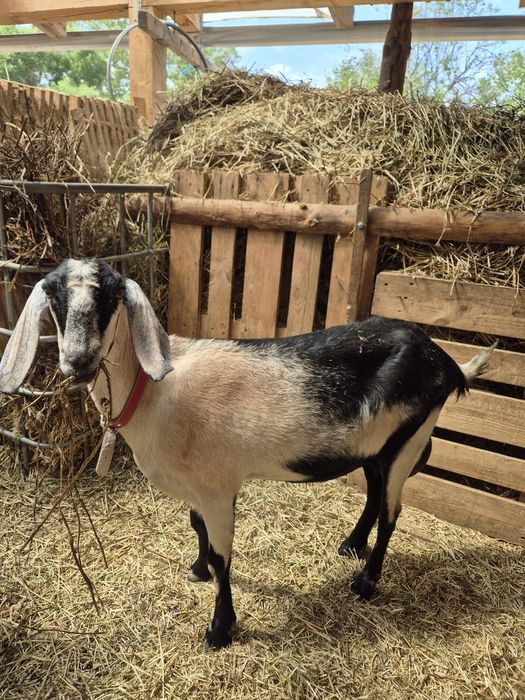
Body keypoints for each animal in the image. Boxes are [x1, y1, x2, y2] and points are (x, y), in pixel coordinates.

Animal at [0, 259, 494, 650]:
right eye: (54, 296)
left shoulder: (218, 486)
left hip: (407, 439)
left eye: (111, 297)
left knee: (392, 511)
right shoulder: (201, 486)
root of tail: (448, 363)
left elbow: (224, 558)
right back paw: (350, 546)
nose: (78, 361)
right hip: (378, 444)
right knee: (375, 495)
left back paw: (365, 583)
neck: (156, 396)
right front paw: (197, 570)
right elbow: (195, 525)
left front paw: (219, 630)